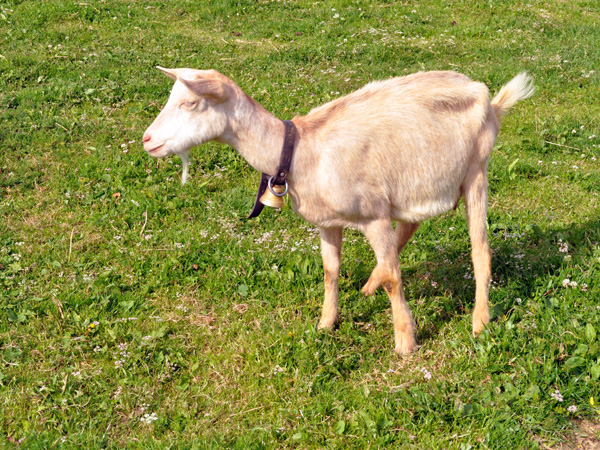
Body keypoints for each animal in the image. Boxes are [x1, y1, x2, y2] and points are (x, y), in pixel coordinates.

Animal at [142, 67, 534, 355]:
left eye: (191, 102)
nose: (147, 140)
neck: (301, 151)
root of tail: (488, 98)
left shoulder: (375, 216)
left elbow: (394, 278)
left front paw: (405, 344)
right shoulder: (327, 223)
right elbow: (331, 271)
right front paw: (325, 324)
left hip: (476, 171)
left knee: (480, 249)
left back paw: (480, 322)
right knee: (409, 227)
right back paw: (368, 286)